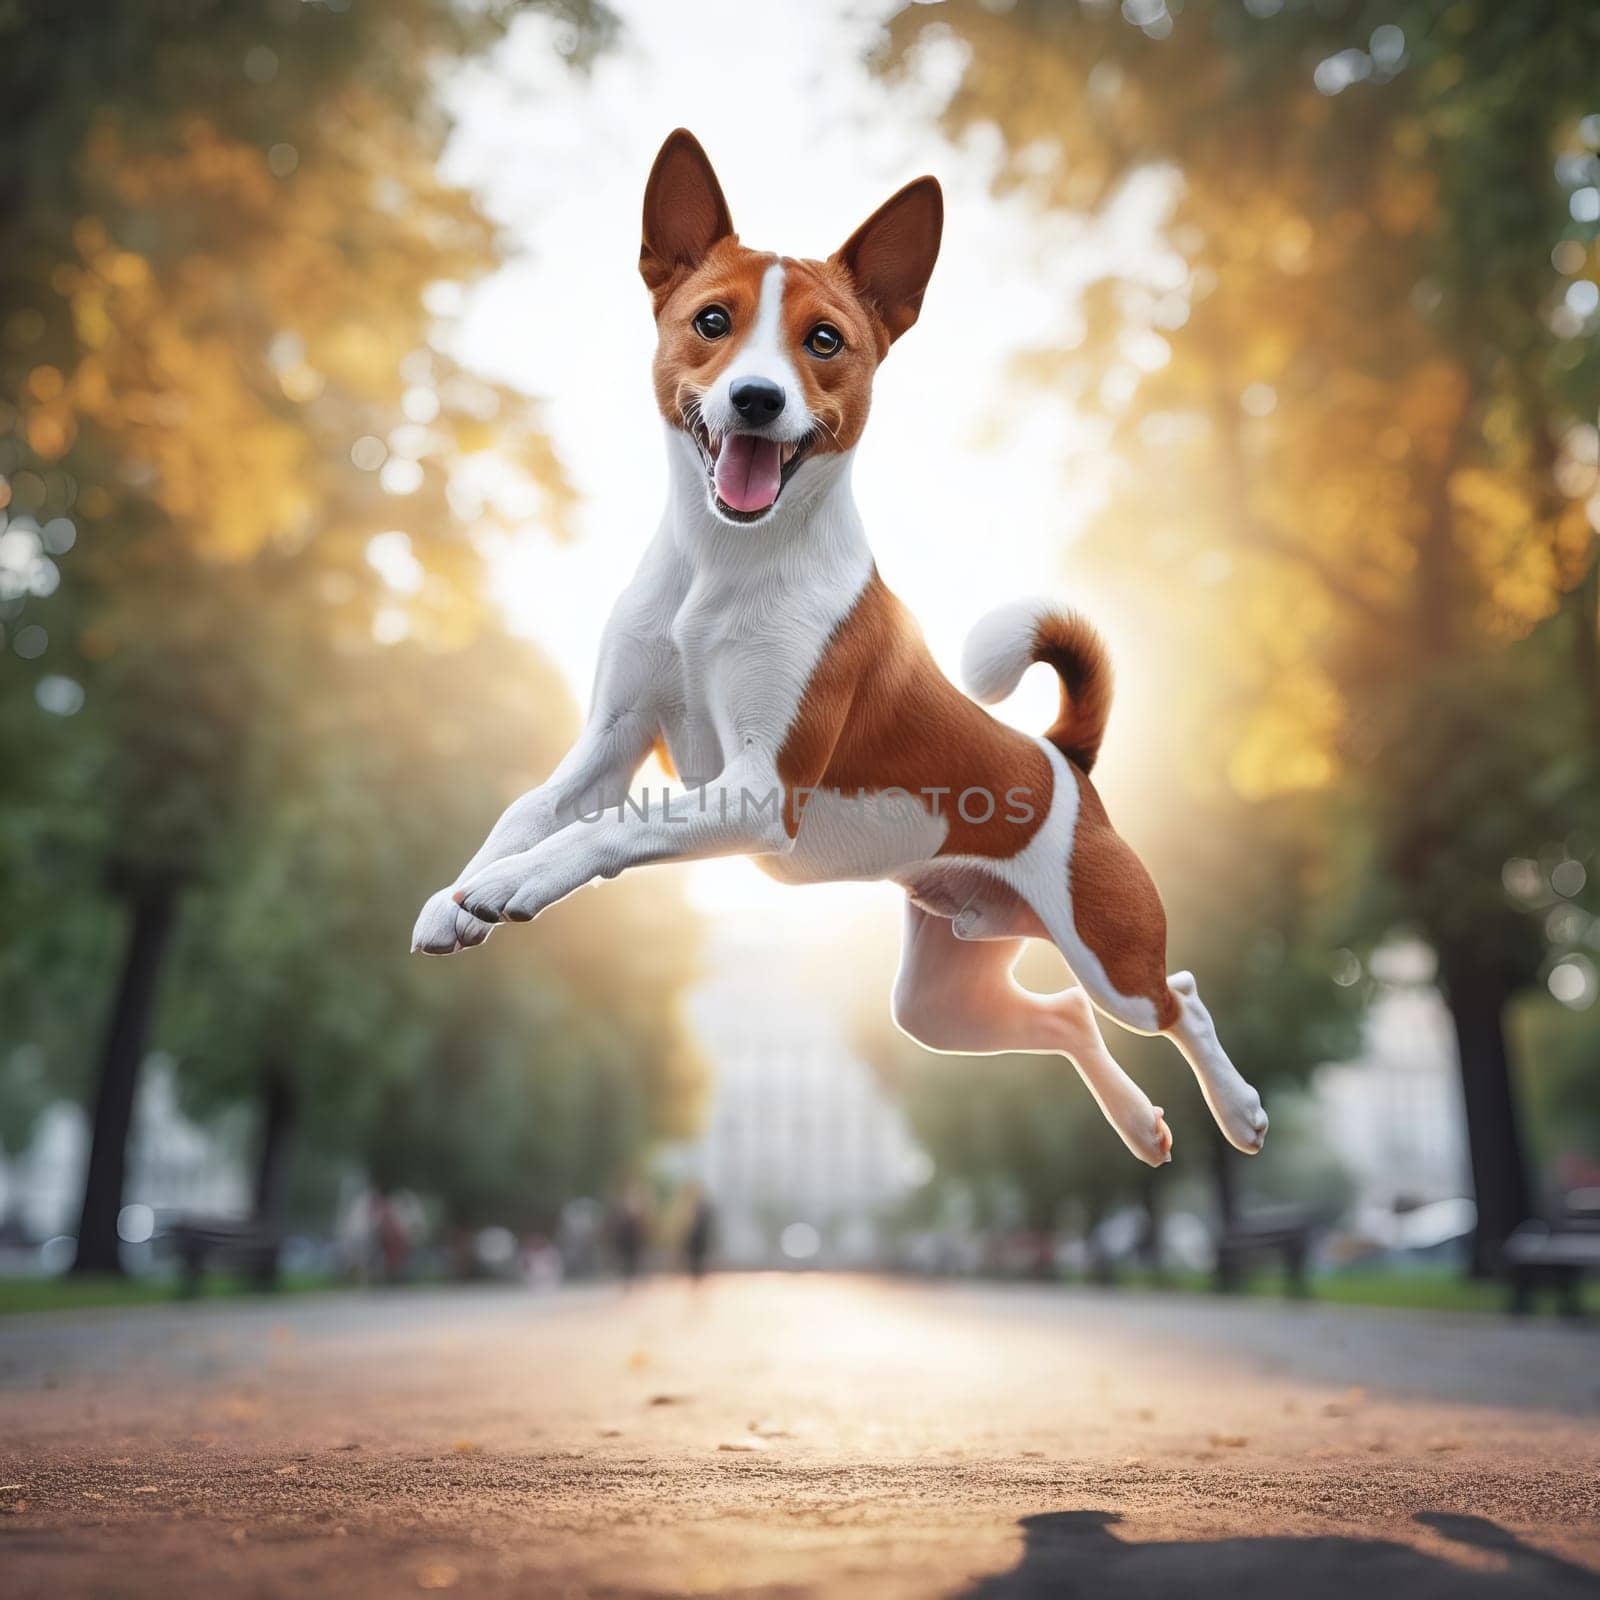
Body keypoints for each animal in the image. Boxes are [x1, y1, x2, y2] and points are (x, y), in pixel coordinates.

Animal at [419, 131, 1267, 1171]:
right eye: (711, 321)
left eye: (824, 341)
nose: (755, 396)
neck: (723, 565)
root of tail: (1063, 758)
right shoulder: (610, 744)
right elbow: (532, 808)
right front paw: (462, 891)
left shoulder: (759, 790)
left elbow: (605, 829)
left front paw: (519, 882)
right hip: (940, 1000)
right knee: (1064, 1013)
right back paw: (1143, 1124)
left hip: (1110, 953)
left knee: (1176, 998)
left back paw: (1238, 1110)